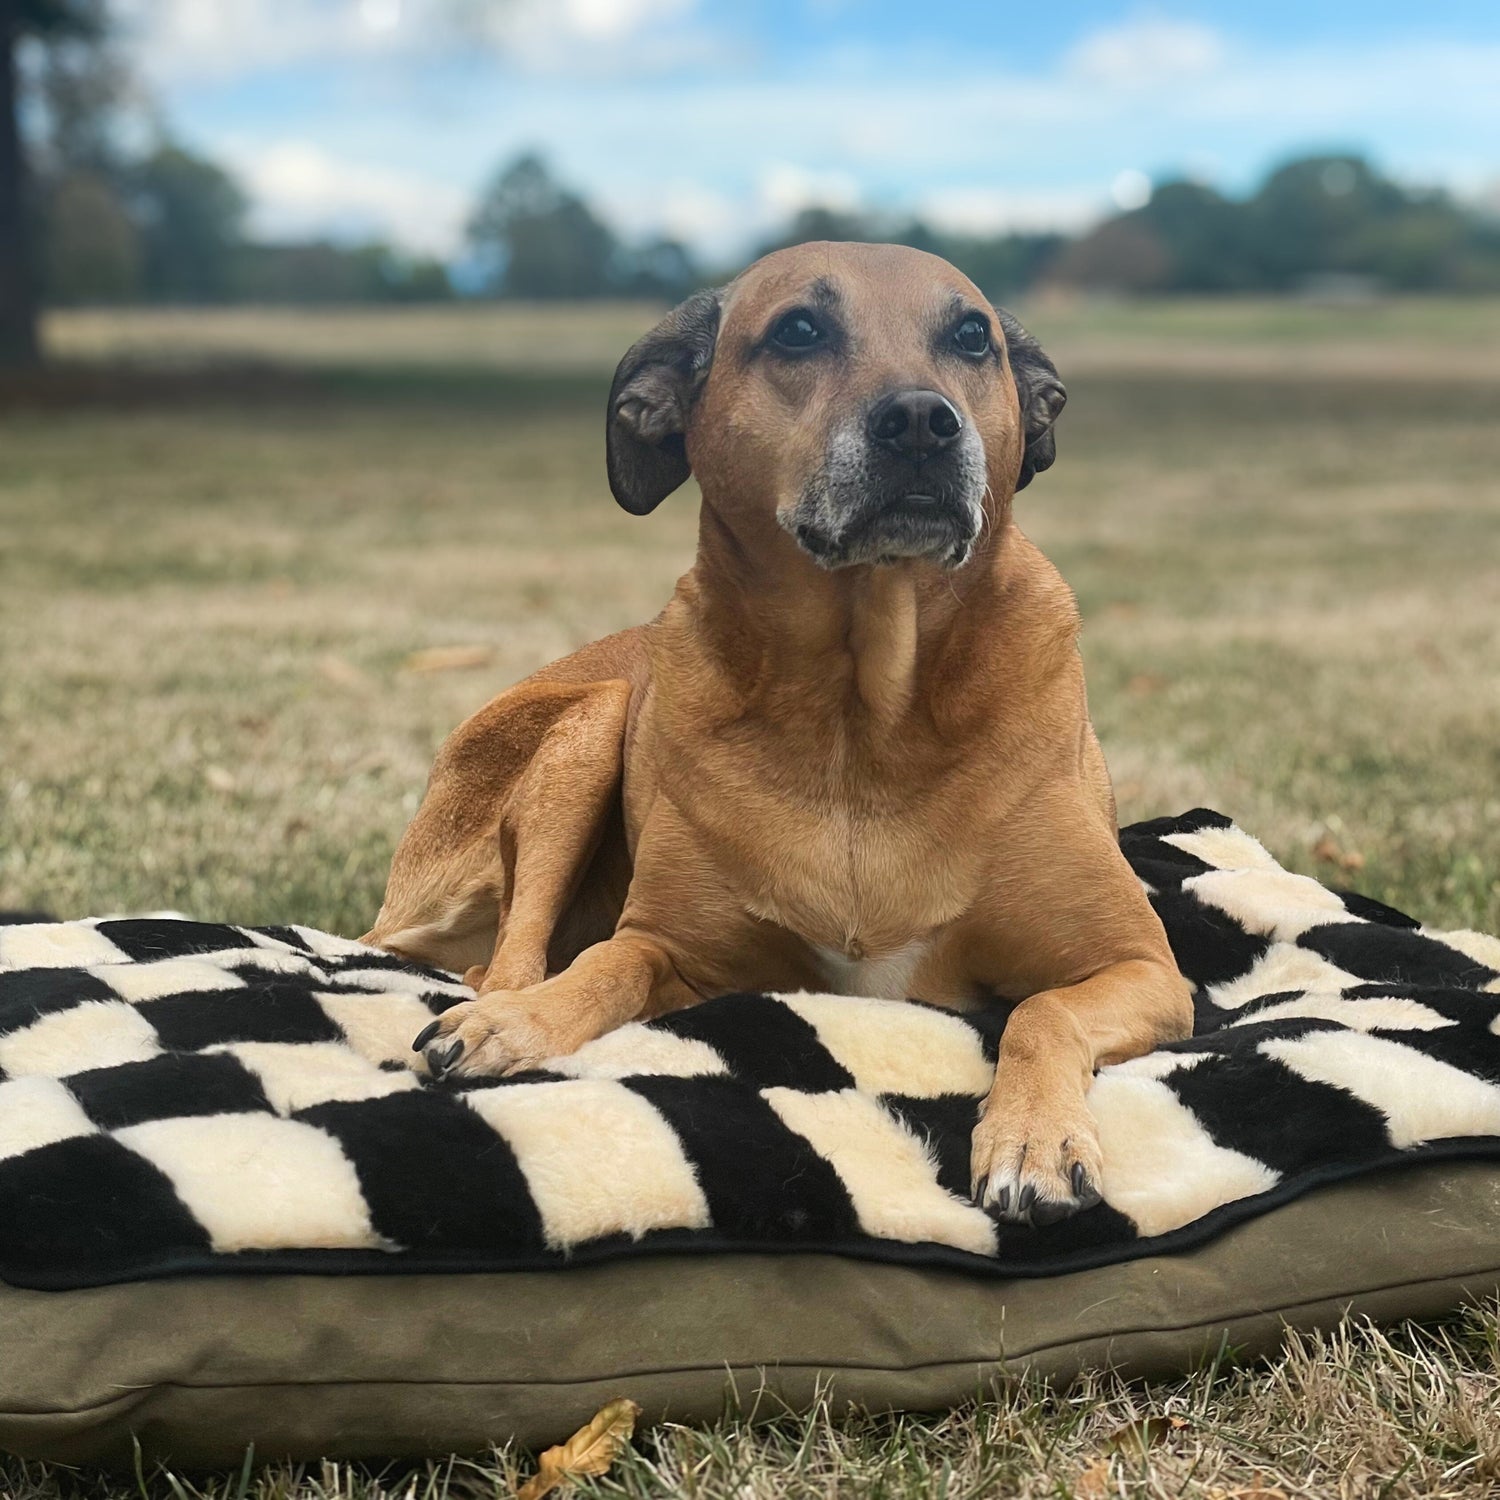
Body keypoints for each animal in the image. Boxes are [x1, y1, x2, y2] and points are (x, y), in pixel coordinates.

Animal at [357, 240, 1188, 1224]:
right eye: (798, 330)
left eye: (971, 337)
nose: (921, 422)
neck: (862, 709)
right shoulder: (673, 947)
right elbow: (606, 965)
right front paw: (522, 1023)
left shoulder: (1143, 966)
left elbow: (1042, 1011)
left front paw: (1034, 1137)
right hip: (593, 721)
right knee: (512, 957)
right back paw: (500, 1007)